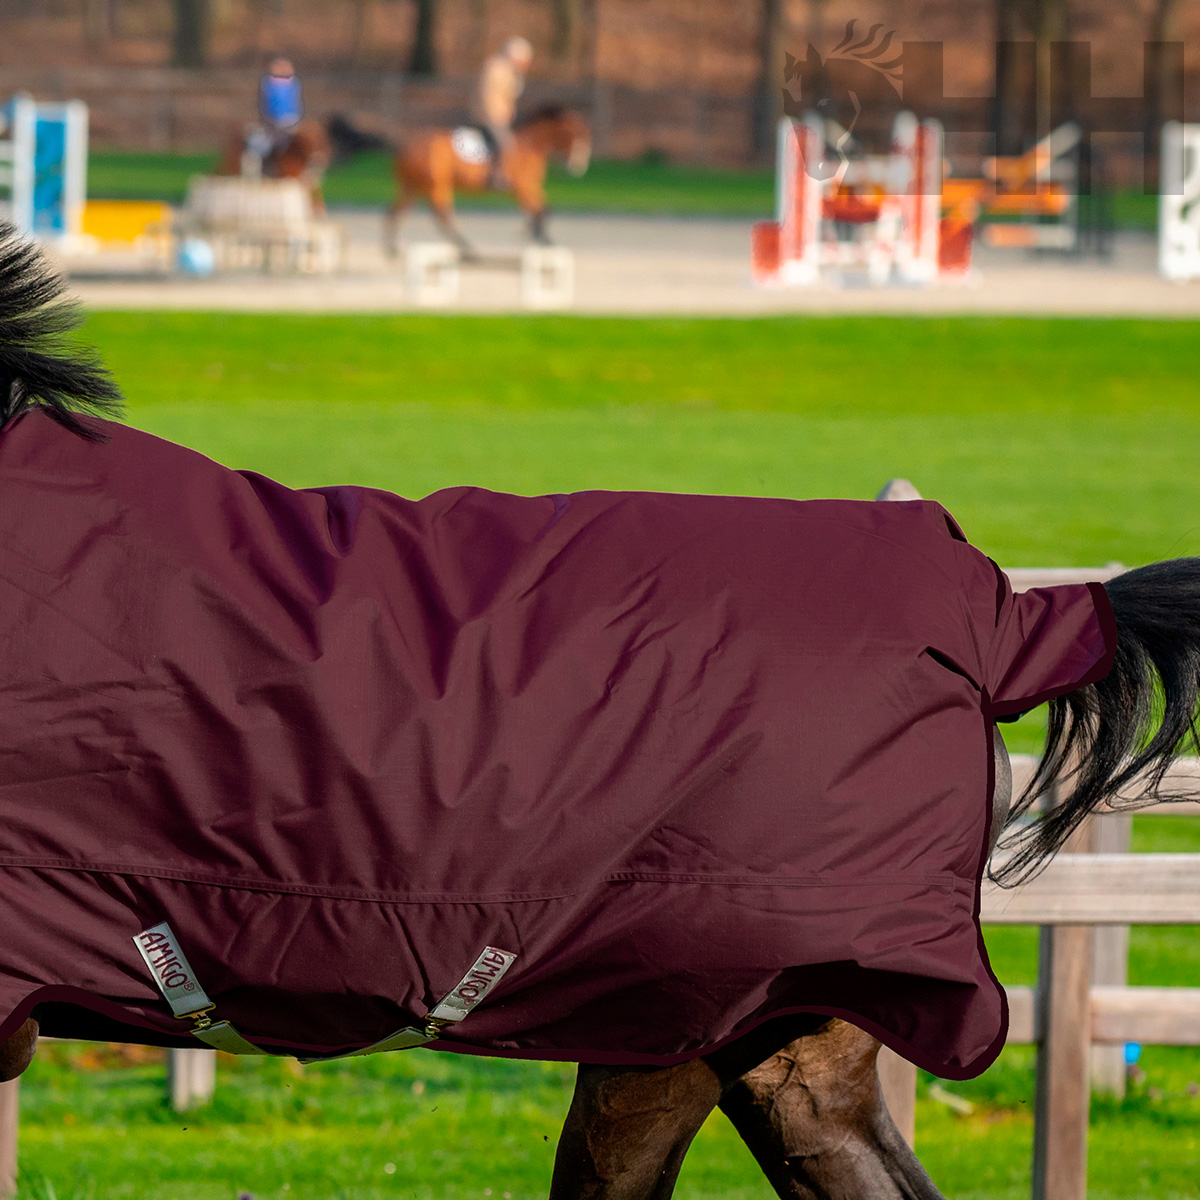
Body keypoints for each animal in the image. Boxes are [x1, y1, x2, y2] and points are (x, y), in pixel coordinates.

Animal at [384, 106, 591, 258]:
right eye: (577, 135)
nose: (578, 166)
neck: (529, 146)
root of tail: (408, 145)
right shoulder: (523, 187)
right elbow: (539, 209)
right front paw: (539, 236)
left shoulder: (527, 188)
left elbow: (543, 209)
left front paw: (539, 236)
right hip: (438, 186)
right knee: (443, 216)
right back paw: (467, 249)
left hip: (411, 187)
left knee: (396, 211)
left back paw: (392, 249)